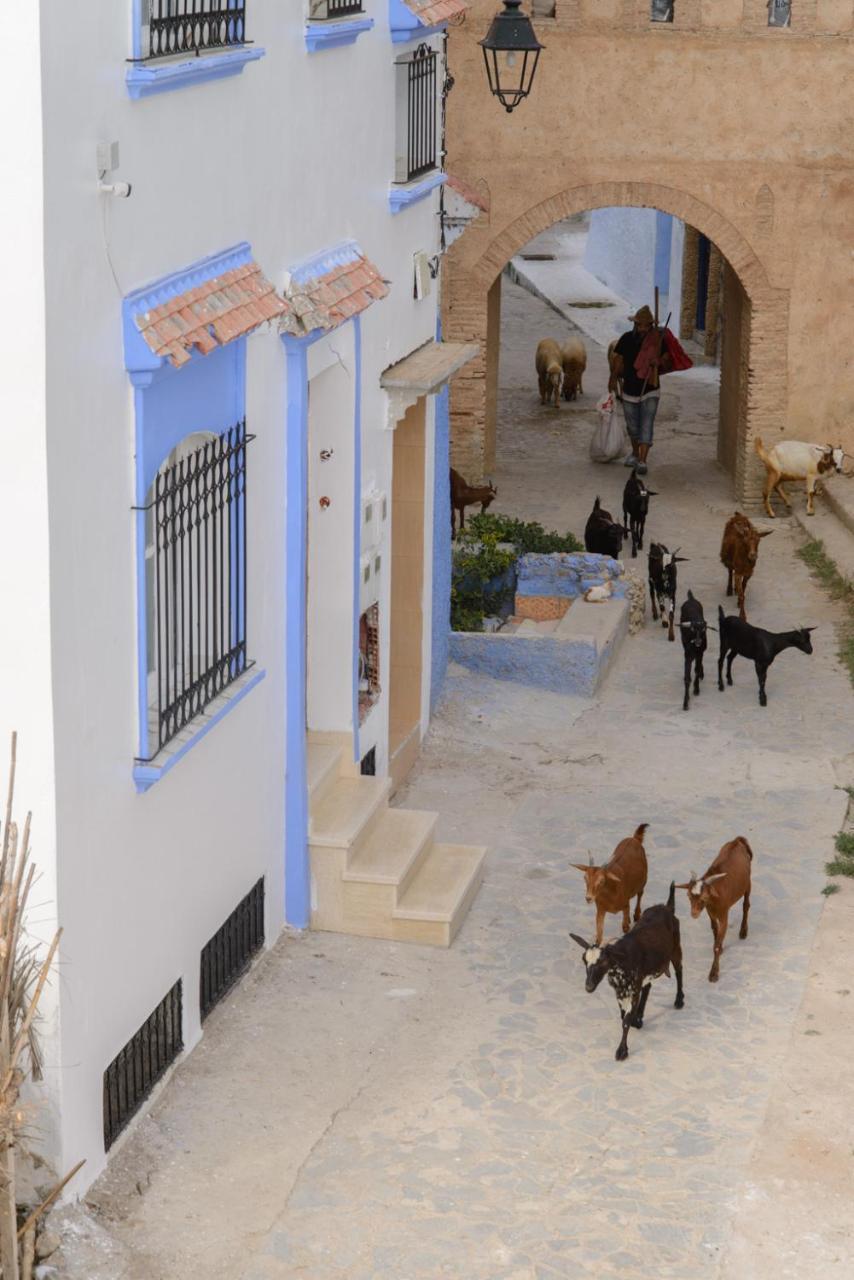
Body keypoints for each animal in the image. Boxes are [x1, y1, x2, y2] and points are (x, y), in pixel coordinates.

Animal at [571, 880, 686, 1059]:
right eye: (584, 960)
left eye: (603, 962)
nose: (588, 987)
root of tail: (667, 907)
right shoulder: (620, 992)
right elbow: (623, 1016)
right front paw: (636, 1021)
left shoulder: (633, 990)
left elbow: (625, 1021)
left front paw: (622, 1051)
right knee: (649, 986)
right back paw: (640, 1017)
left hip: (676, 949)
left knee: (679, 971)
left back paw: (679, 1001)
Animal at [676, 839, 752, 977]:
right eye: (688, 896)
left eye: (704, 897)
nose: (694, 913)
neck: (714, 899)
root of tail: (737, 840)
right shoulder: (710, 913)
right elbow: (714, 930)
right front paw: (720, 946)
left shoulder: (723, 917)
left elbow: (716, 945)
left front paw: (713, 973)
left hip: (748, 883)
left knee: (746, 905)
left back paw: (743, 931)